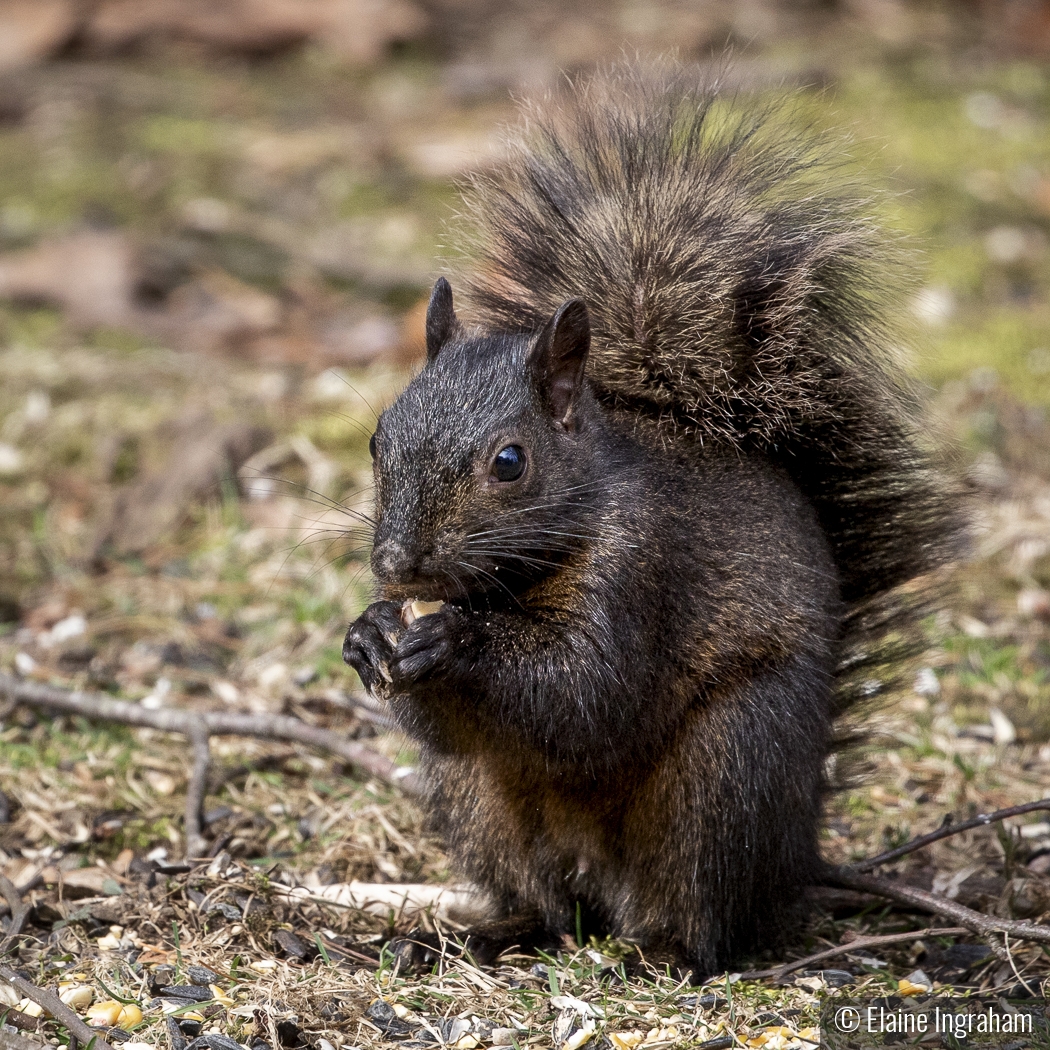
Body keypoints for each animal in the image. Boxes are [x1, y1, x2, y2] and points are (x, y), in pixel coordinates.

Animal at [340, 65, 957, 970]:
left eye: (509, 463)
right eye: (377, 438)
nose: (398, 567)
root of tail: (798, 855)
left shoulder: (644, 569)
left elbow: (586, 693)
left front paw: (454, 640)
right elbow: (454, 726)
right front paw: (368, 635)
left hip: (726, 773)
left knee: (701, 914)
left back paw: (662, 950)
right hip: (481, 807)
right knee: (546, 903)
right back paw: (490, 932)